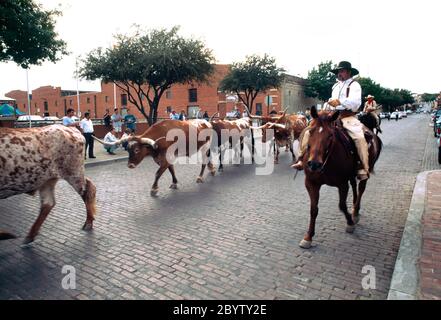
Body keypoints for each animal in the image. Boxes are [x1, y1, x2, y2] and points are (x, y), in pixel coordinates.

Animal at [300, 106, 382, 249]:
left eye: (330, 135)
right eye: (310, 131)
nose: (314, 164)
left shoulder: (342, 184)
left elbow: (342, 205)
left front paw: (350, 223)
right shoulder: (311, 183)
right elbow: (313, 209)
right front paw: (308, 237)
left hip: (365, 172)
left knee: (361, 189)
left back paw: (355, 212)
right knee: (354, 186)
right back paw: (354, 208)